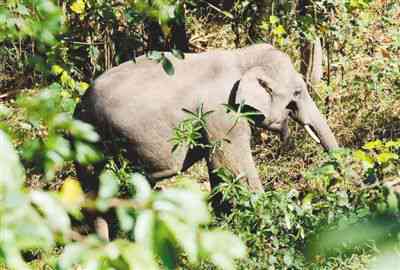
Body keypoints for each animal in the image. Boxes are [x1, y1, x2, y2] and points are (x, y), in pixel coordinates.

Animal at [74, 42, 338, 234]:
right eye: (297, 93)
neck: (242, 56)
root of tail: (78, 107)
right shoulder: (223, 114)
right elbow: (233, 168)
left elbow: (220, 173)